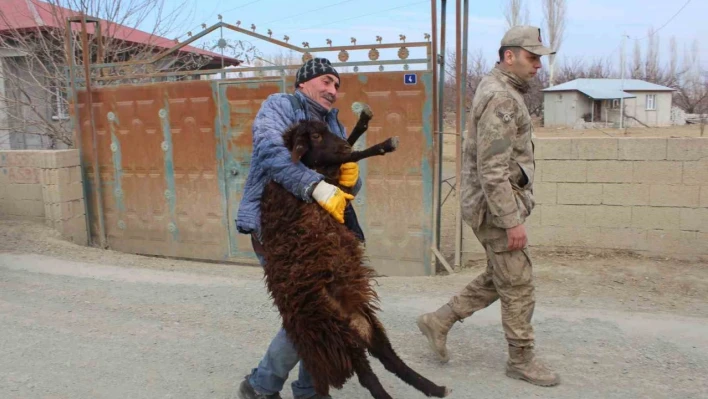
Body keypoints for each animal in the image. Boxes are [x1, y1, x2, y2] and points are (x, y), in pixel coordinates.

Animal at [258, 108, 450, 398]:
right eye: (314, 136)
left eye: (325, 129)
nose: (341, 144)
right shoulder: (323, 180)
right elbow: (347, 157)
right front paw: (382, 144)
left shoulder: (332, 178)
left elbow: (345, 155)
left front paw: (362, 124)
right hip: (340, 337)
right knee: (369, 377)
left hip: (366, 325)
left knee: (390, 360)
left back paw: (435, 388)